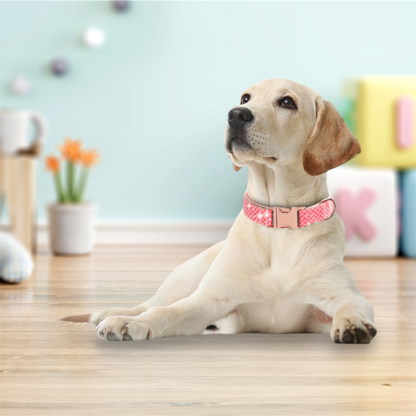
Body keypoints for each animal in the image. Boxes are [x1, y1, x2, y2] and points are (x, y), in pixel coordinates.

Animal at [62, 79, 376, 344]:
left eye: (287, 102)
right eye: (245, 98)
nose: (236, 114)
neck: (277, 222)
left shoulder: (337, 298)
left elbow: (352, 305)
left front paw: (352, 323)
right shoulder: (209, 301)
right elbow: (166, 312)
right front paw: (131, 323)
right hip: (186, 278)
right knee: (150, 303)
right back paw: (112, 314)